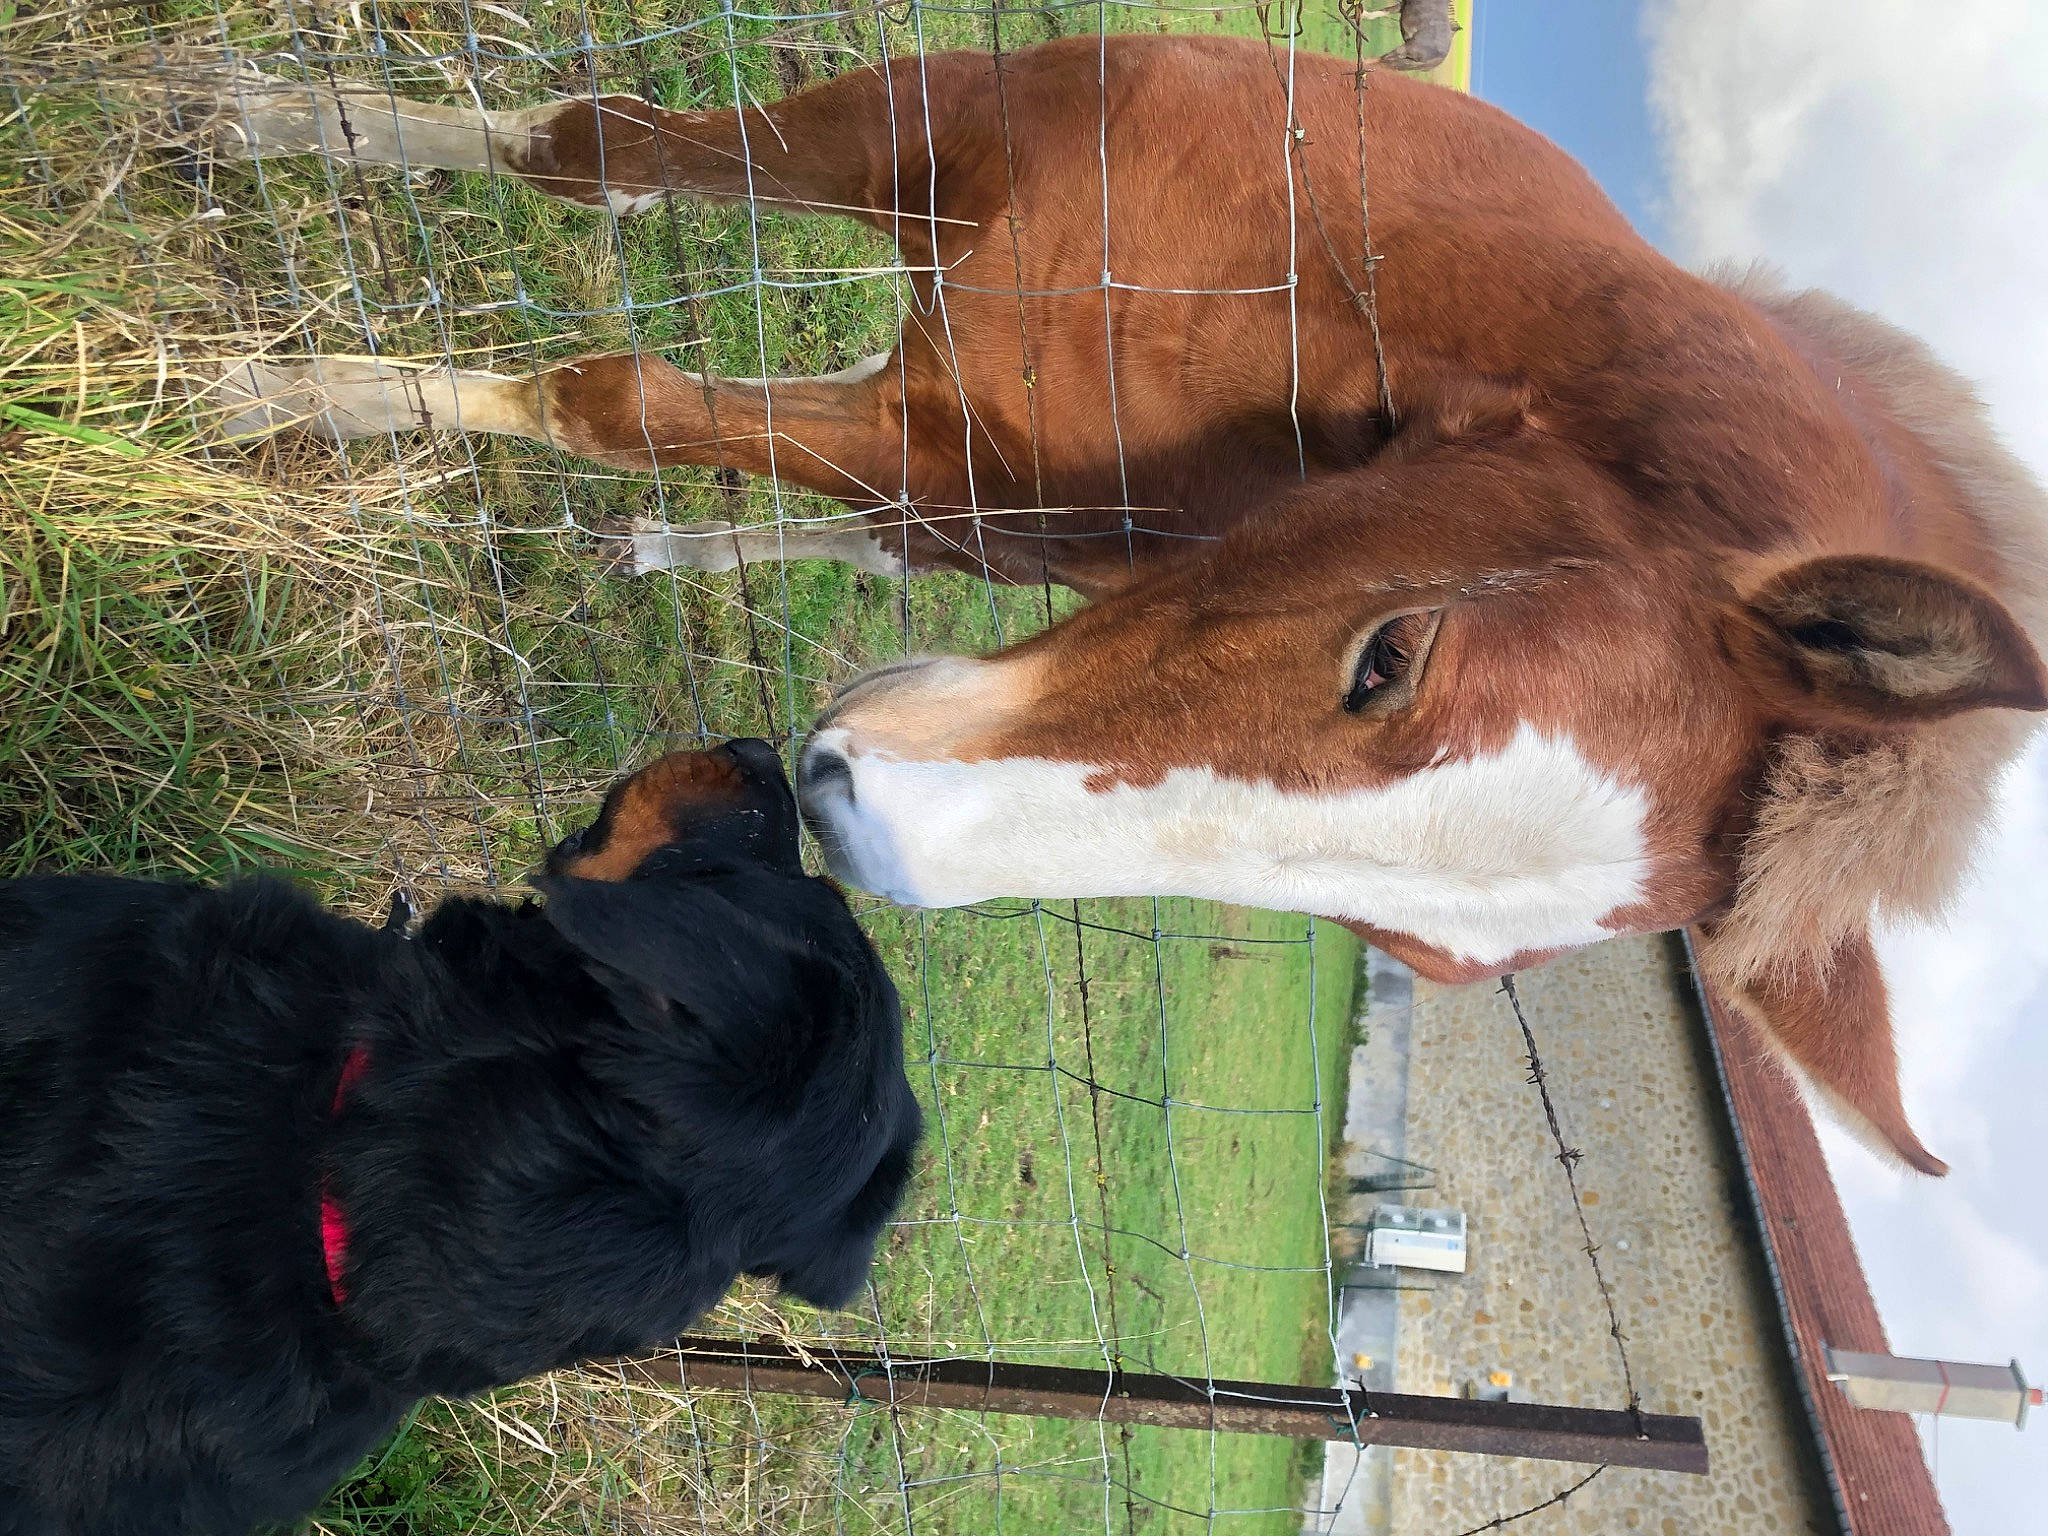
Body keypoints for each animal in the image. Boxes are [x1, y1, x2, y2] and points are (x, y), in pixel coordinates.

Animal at [185, 33, 2048, 1175]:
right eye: (1391, 658)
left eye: (1402, 952)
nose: (850, 818)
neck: (1321, 298)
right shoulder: (931, 123)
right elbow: (592, 181)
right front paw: (270, 254)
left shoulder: (950, 460)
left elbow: (638, 403)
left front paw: (296, 395)